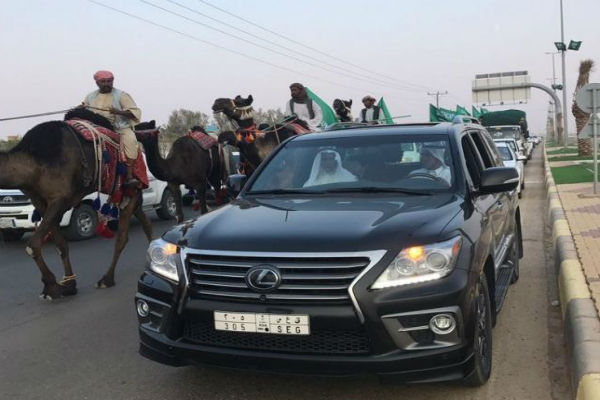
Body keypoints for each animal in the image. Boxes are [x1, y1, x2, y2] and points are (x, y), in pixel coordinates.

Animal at [0, 108, 152, 299]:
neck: (34, 161)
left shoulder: (60, 198)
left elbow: (32, 246)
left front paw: (51, 286)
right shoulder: (41, 201)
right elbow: (61, 245)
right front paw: (69, 285)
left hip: (129, 187)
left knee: (122, 237)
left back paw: (106, 279)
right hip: (129, 196)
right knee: (145, 222)